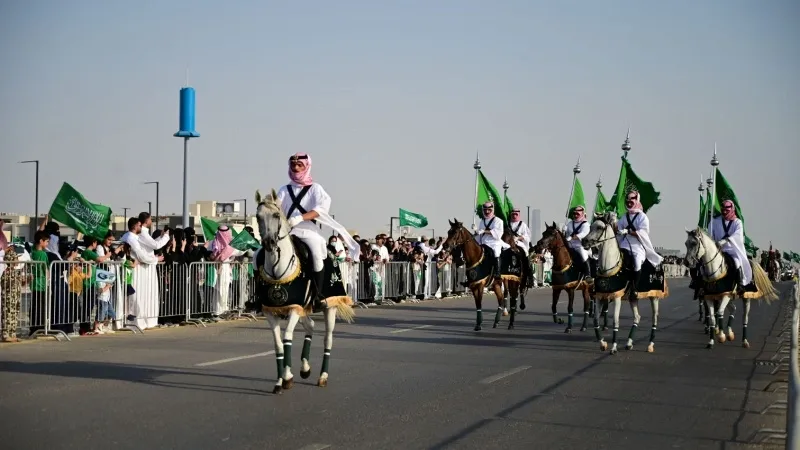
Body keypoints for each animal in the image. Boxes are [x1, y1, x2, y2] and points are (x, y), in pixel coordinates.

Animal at [256, 188, 356, 392]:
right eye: (257, 216)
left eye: (276, 215)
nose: (269, 244)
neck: (278, 272)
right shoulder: (271, 312)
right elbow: (278, 344)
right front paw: (279, 381)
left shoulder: (295, 308)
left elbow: (287, 338)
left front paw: (287, 377)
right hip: (305, 309)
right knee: (310, 326)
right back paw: (305, 368)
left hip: (329, 306)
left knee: (327, 338)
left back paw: (323, 376)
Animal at [580, 214, 664, 356]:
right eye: (590, 226)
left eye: (600, 227)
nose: (584, 241)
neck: (608, 268)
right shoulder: (600, 296)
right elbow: (596, 320)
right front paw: (603, 344)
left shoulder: (617, 297)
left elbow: (615, 321)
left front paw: (613, 347)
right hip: (632, 298)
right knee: (637, 317)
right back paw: (629, 343)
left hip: (654, 296)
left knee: (655, 318)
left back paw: (650, 345)